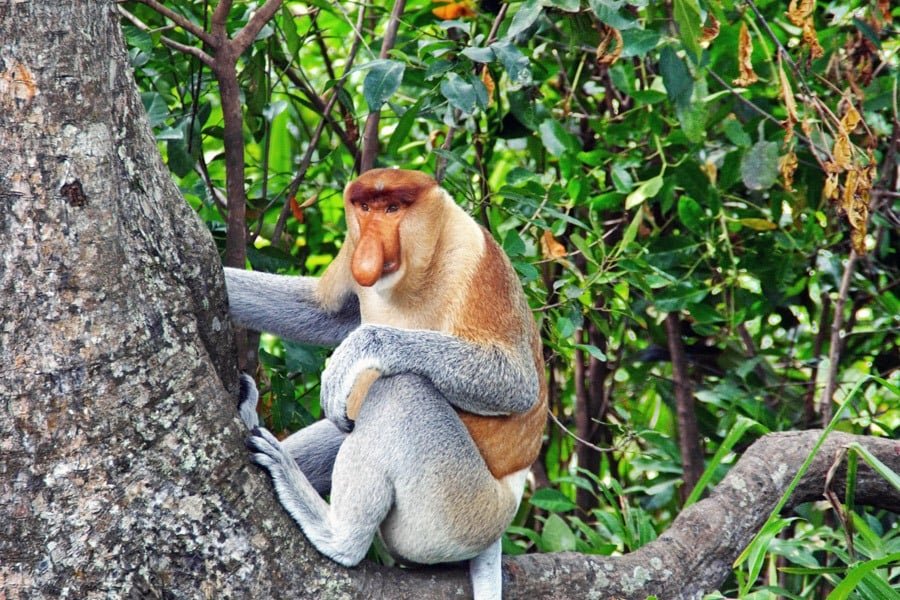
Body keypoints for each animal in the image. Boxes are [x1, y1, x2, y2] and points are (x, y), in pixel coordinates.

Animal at [229, 169, 544, 600]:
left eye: (393, 209)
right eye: (366, 208)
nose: (370, 246)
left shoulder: (476, 257)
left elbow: (517, 383)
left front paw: (359, 349)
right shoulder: (351, 244)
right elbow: (326, 311)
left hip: (460, 512)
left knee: (401, 390)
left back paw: (334, 533)